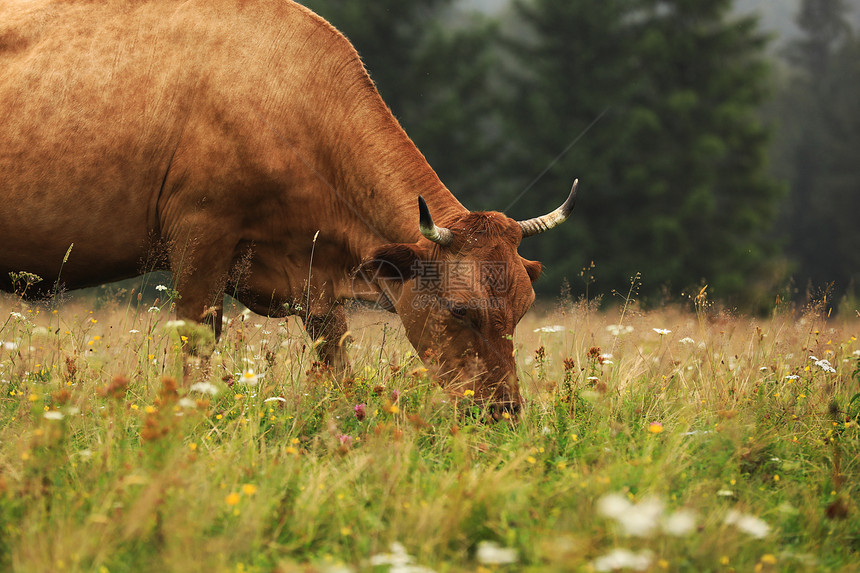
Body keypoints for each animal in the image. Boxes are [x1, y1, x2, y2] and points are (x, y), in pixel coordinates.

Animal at [1, 0, 576, 414]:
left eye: (523, 308)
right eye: (460, 309)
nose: (502, 410)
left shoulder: (315, 282)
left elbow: (337, 365)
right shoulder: (200, 234)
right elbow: (196, 349)